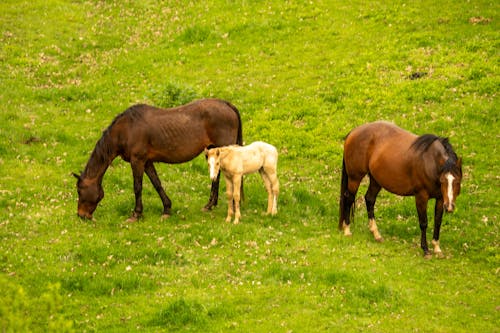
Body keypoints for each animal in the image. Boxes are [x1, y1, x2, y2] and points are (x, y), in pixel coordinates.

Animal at [74, 97, 244, 220]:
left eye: (79, 191)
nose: (81, 215)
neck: (126, 130)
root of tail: (227, 105)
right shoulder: (147, 162)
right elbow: (157, 183)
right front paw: (167, 208)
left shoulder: (137, 161)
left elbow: (137, 187)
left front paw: (136, 214)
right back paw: (211, 205)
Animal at [338, 120, 462, 258]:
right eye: (443, 181)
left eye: (457, 182)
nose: (450, 207)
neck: (430, 162)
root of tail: (353, 132)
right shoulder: (421, 197)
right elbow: (423, 222)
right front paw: (425, 249)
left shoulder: (440, 199)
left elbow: (438, 221)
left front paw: (437, 248)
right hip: (355, 178)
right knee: (349, 198)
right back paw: (347, 230)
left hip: (376, 180)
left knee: (369, 199)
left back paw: (376, 234)